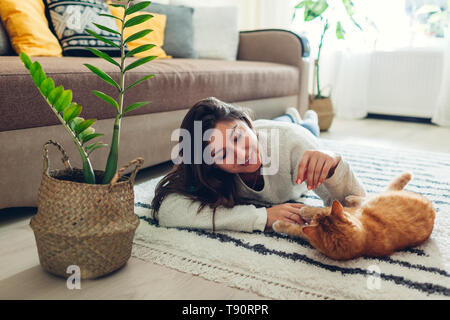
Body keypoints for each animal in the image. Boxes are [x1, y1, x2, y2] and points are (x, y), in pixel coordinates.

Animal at [272, 172, 434, 260]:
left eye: (316, 218)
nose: (311, 219)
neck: (366, 238)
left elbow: (297, 229)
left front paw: (301, 213)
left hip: (377, 198)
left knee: (369, 196)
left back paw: (350, 198)